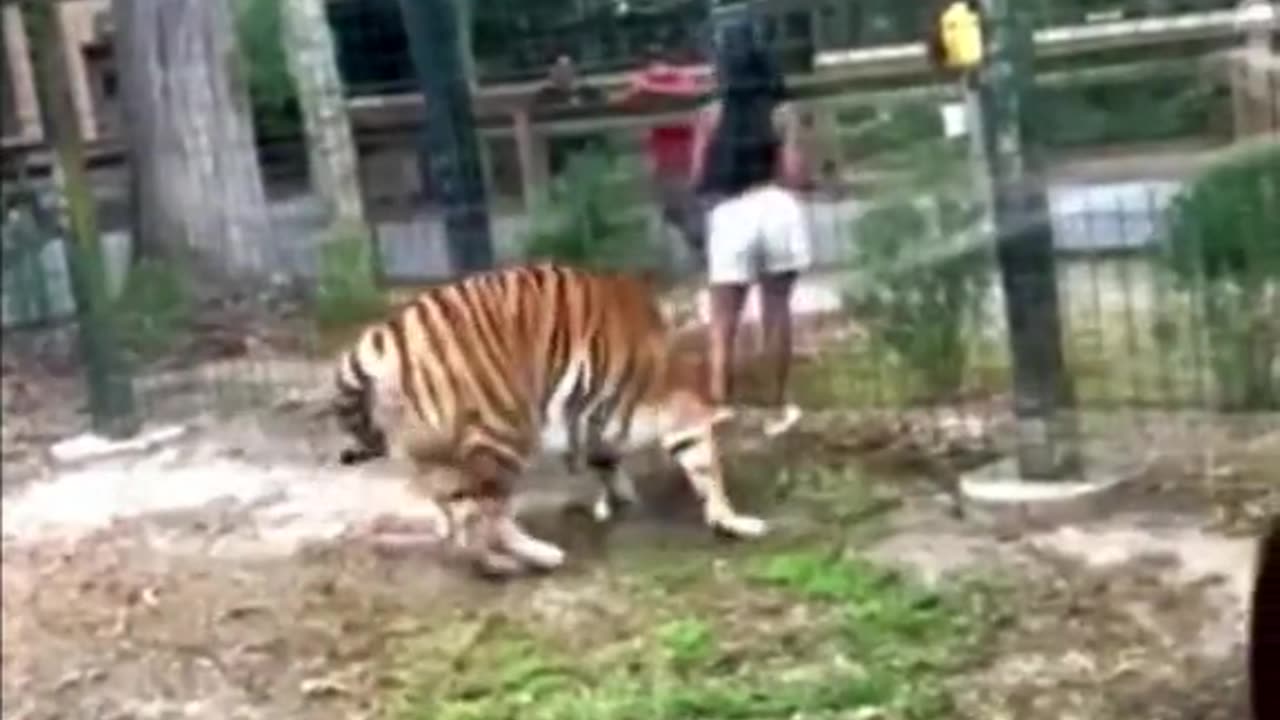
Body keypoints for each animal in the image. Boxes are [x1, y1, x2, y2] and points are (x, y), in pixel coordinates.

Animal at [332, 262, 768, 571]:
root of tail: (386, 335)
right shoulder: (678, 412)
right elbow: (707, 469)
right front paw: (733, 521)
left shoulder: (599, 420)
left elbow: (608, 460)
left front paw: (621, 499)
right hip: (505, 431)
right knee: (489, 514)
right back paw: (541, 555)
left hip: (435, 453)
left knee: (460, 517)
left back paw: (493, 561)